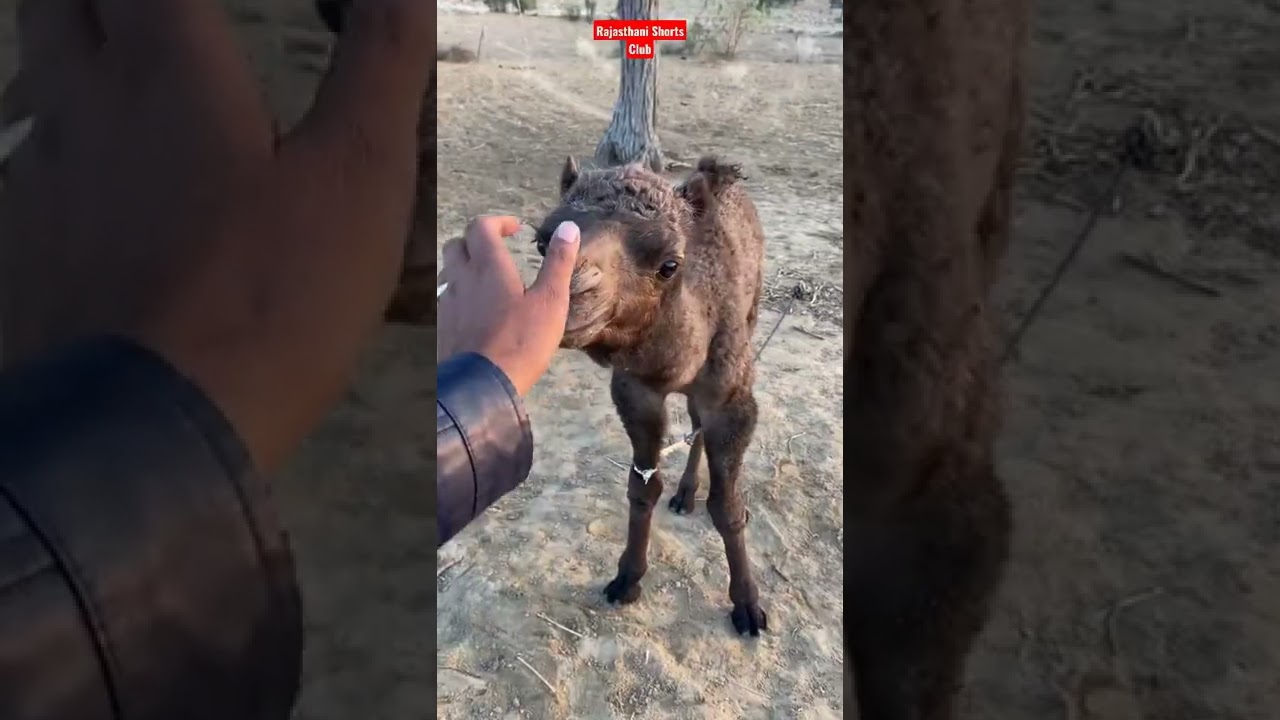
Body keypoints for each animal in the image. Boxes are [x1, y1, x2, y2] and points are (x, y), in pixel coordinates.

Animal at [533, 157, 770, 636]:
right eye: (542, 242)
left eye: (669, 263)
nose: (566, 292)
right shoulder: (635, 390)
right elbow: (642, 486)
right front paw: (626, 578)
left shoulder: (732, 398)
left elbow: (727, 506)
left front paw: (748, 606)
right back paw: (684, 494)